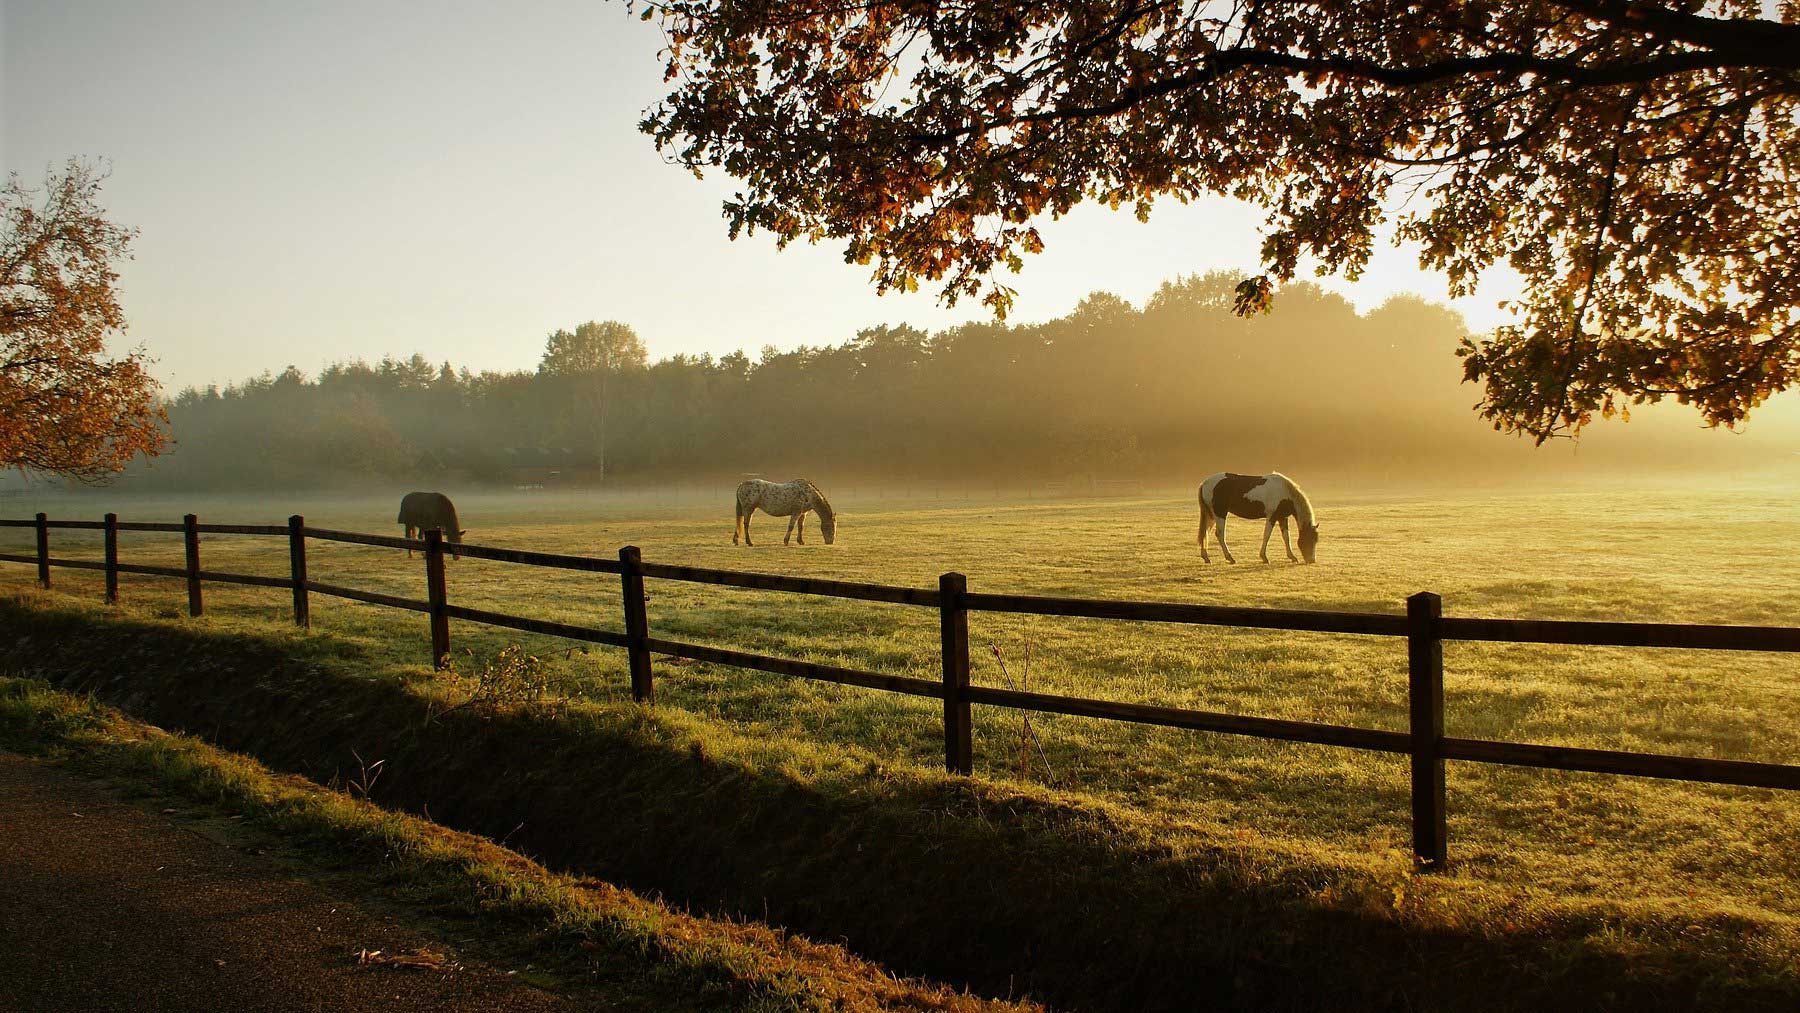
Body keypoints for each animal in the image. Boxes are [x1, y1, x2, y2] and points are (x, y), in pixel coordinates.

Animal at [1195, 475, 1324, 561]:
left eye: (1316, 540)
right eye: (1309, 539)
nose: (1311, 560)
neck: (1285, 493)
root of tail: (1205, 483)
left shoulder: (1282, 517)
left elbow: (1286, 537)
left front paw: (1292, 556)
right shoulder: (1272, 517)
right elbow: (1267, 535)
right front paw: (1264, 557)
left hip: (1211, 515)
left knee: (1205, 532)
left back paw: (1206, 557)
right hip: (1220, 514)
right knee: (1220, 534)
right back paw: (1230, 558)